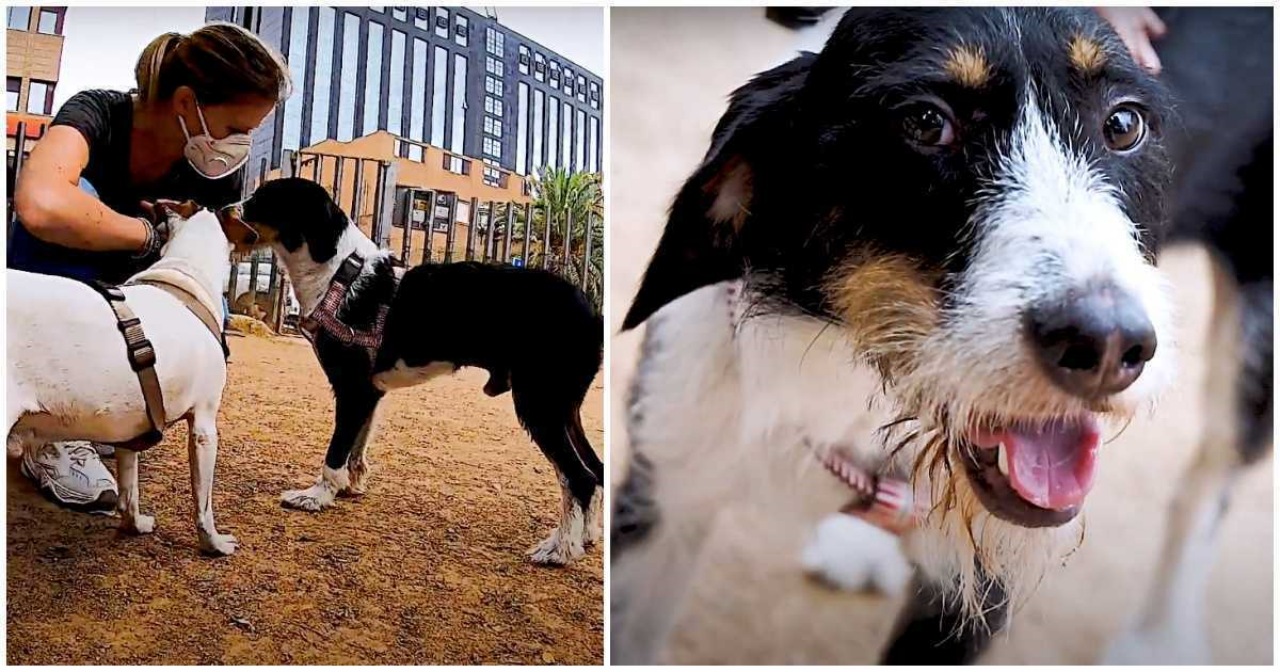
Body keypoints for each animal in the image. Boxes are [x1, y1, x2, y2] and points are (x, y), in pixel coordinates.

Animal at [7, 206, 240, 555]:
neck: (184, 276)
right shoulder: (204, 427)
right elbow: (203, 503)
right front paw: (214, 543)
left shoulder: (132, 432)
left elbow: (129, 491)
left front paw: (135, 525)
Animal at [243, 176, 604, 560]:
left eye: (263, 199)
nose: (230, 207)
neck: (338, 275)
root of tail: (592, 313)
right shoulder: (369, 394)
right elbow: (357, 446)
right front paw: (349, 486)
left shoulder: (352, 389)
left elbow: (336, 452)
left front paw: (317, 496)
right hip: (564, 409)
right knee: (596, 470)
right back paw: (586, 536)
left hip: (540, 405)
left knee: (578, 477)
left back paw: (560, 550)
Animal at [611, 6, 1269, 665]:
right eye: (927, 123)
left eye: (1124, 123)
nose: (1106, 345)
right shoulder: (665, 474)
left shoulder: (984, 580)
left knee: (1209, 480)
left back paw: (1161, 639)